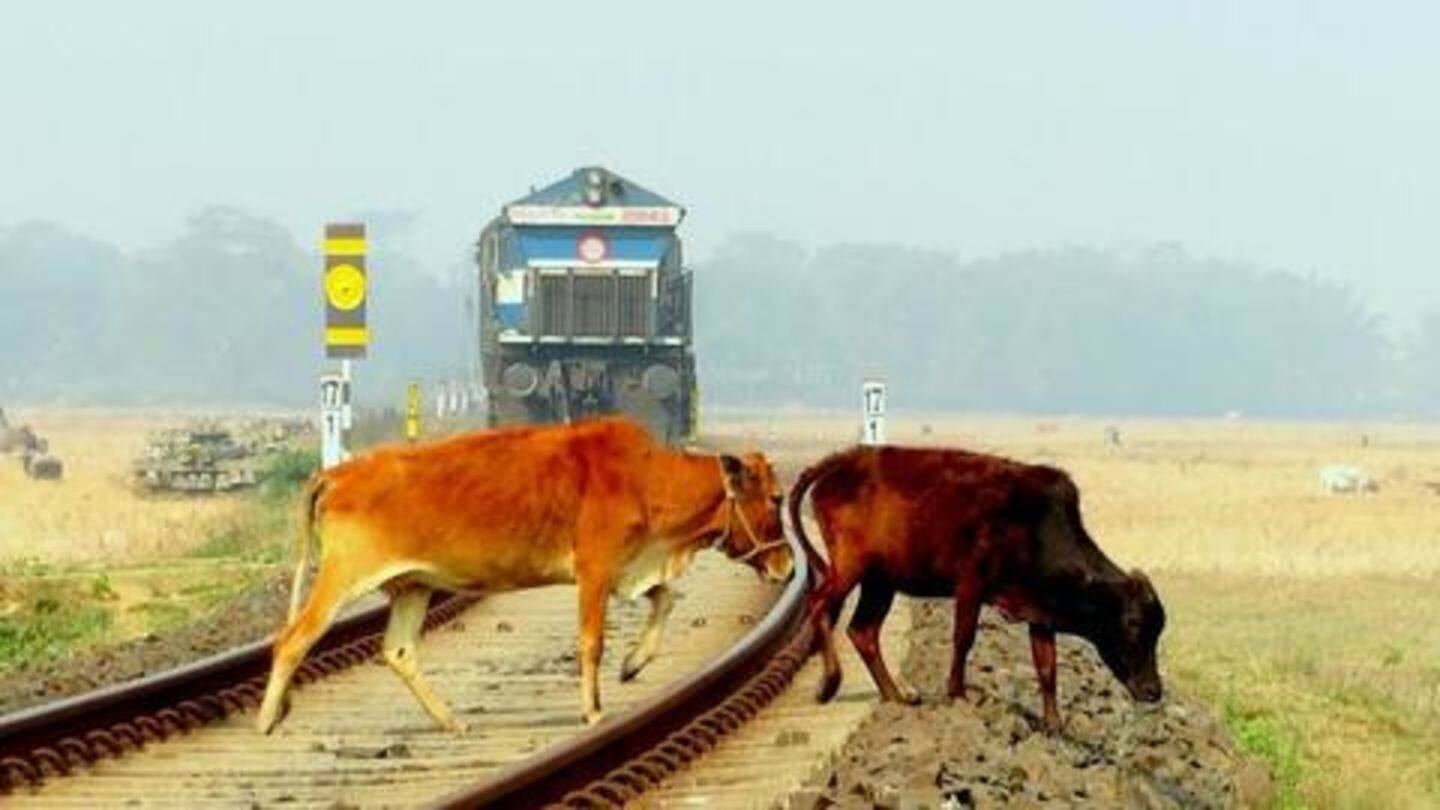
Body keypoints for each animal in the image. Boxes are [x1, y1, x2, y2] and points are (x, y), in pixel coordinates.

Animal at [254, 415, 794, 732]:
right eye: (775, 499)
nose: (788, 565)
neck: (647, 478)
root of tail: (335, 473)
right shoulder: (595, 570)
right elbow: (592, 642)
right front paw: (594, 709)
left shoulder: (629, 568)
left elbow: (665, 600)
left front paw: (633, 663)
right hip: (342, 578)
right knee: (292, 639)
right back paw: (265, 719)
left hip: (413, 585)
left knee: (399, 651)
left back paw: (451, 721)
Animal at [789, 443, 1169, 729]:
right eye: (1133, 623)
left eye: (1157, 630)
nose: (1153, 690)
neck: (1035, 526)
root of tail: (847, 458)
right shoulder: (971, 582)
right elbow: (963, 638)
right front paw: (957, 693)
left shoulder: (1039, 611)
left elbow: (1047, 667)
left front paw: (1054, 724)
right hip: (849, 567)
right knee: (818, 604)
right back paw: (830, 682)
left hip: (880, 580)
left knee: (863, 631)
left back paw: (895, 696)